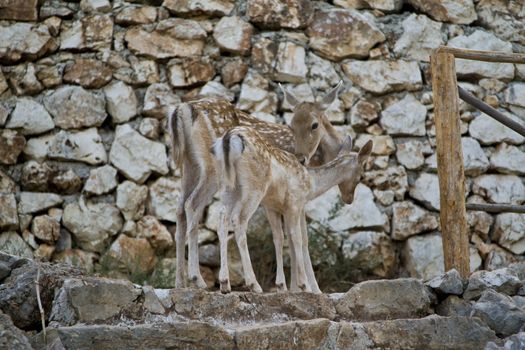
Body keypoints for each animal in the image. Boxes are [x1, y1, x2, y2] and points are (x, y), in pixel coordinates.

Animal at [210, 126, 372, 292]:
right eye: (361, 177)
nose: (349, 199)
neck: (311, 184)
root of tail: (230, 136)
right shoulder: (295, 203)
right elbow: (299, 239)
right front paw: (305, 286)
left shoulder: (273, 207)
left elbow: (280, 238)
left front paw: (283, 286)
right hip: (253, 187)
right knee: (239, 220)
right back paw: (254, 284)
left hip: (226, 186)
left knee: (222, 218)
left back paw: (224, 283)